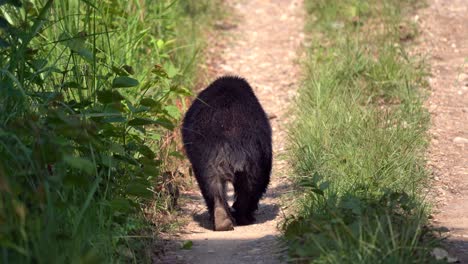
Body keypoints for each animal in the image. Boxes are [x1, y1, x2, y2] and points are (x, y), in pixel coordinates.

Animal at [181, 75, 272, 230]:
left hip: (214, 160)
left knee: (213, 185)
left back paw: (223, 218)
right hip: (253, 162)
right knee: (250, 188)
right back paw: (238, 217)